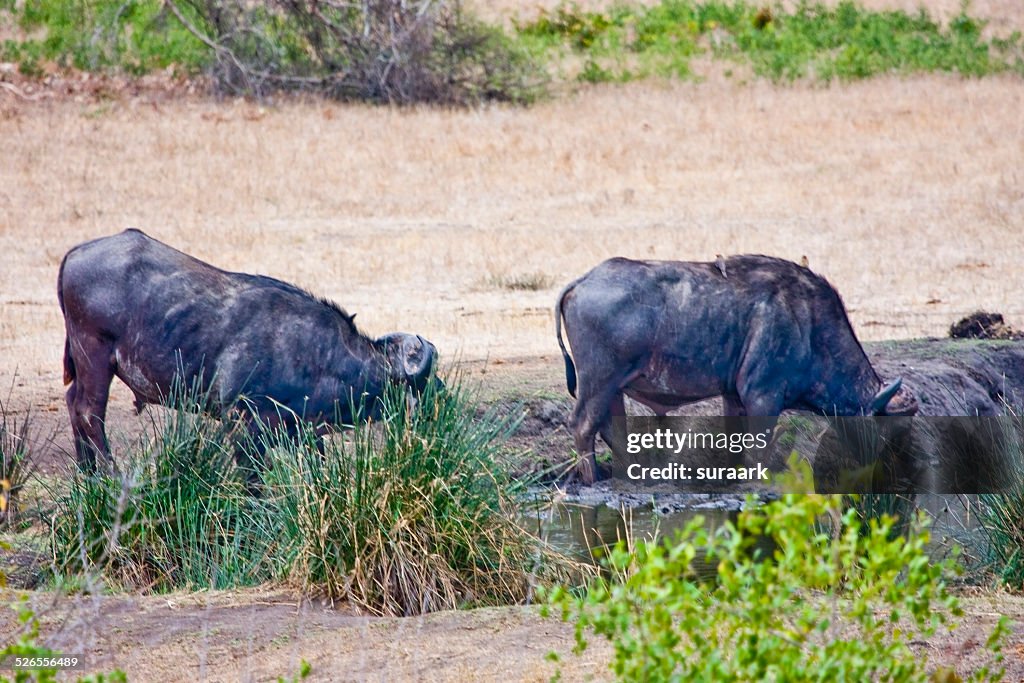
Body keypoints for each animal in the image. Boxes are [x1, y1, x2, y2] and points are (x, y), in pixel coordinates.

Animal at [59, 228, 436, 471]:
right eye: (425, 383)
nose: (439, 408)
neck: (317, 356)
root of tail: (76, 252)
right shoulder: (242, 423)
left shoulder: (303, 433)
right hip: (94, 355)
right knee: (89, 413)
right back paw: (109, 474)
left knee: (73, 404)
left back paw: (88, 477)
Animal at [561, 255, 921, 485]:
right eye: (894, 432)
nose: (902, 475)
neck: (810, 326)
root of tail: (585, 280)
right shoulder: (762, 397)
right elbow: (758, 449)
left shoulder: (733, 396)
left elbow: (734, 441)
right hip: (598, 381)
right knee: (583, 425)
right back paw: (592, 480)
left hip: (614, 388)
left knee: (613, 430)